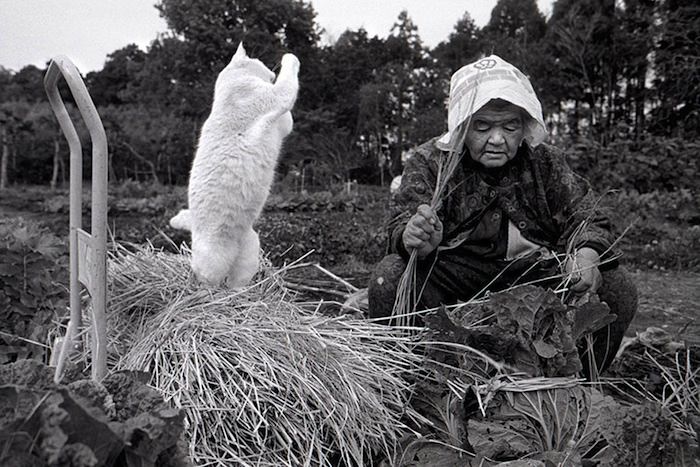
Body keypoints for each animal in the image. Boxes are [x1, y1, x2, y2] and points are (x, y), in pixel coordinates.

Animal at [172, 44, 300, 288]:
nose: (270, 72)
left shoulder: (280, 123)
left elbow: (287, 120)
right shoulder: (276, 97)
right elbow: (288, 81)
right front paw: (289, 56)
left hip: (250, 249)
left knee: (237, 281)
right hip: (212, 261)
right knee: (208, 280)